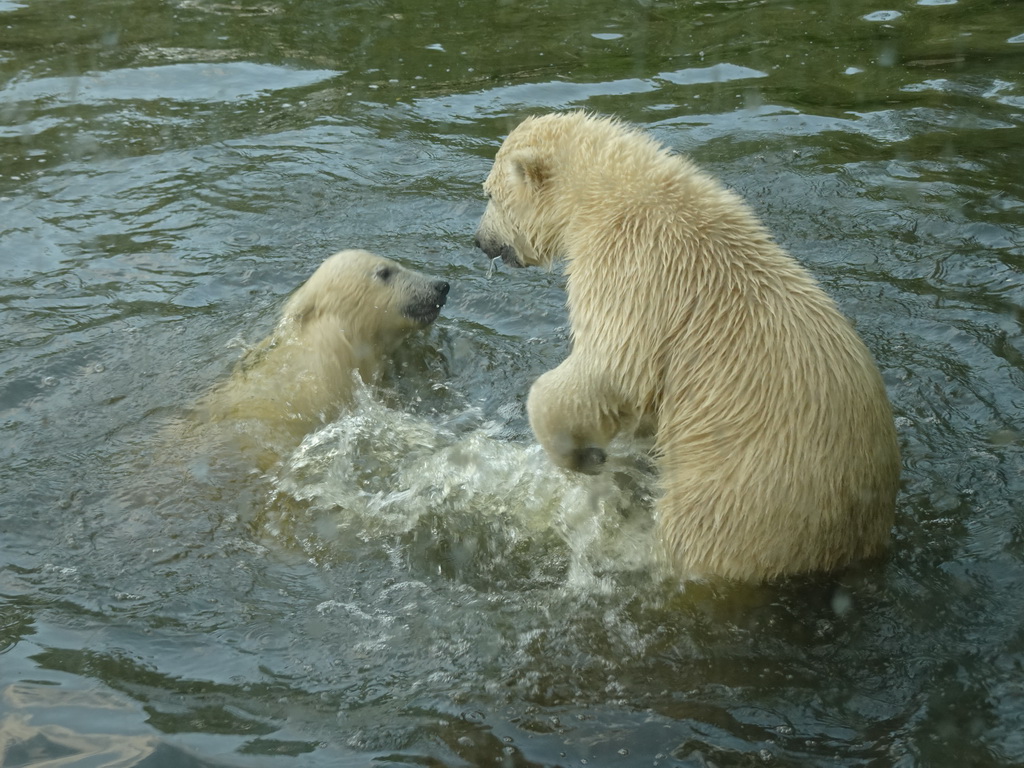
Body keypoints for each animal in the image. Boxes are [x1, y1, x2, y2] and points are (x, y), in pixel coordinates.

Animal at [475, 112, 901, 581]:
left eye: (489, 193)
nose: (479, 241)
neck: (609, 198)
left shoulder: (632, 275)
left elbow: (605, 372)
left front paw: (583, 456)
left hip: (739, 501)